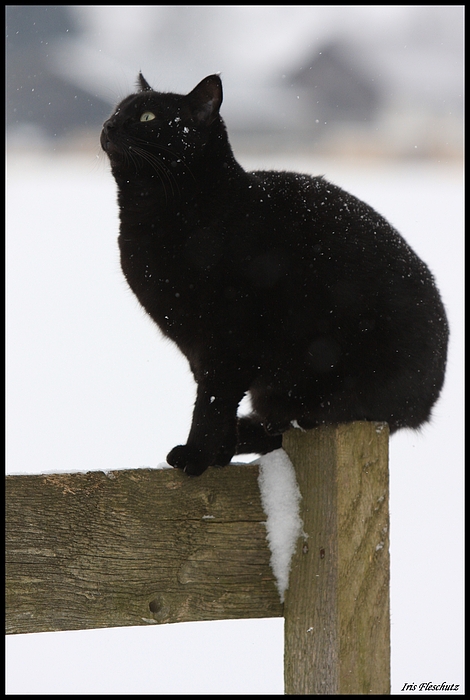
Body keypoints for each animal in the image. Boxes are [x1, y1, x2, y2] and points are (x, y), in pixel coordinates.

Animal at [102, 74, 448, 476]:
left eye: (147, 117)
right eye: (117, 110)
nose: (108, 125)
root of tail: (427, 404)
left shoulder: (229, 342)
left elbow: (211, 405)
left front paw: (197, 457)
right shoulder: (199, 350)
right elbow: (218, 405)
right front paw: (218, 456)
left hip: (330, 388)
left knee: (297, 424)